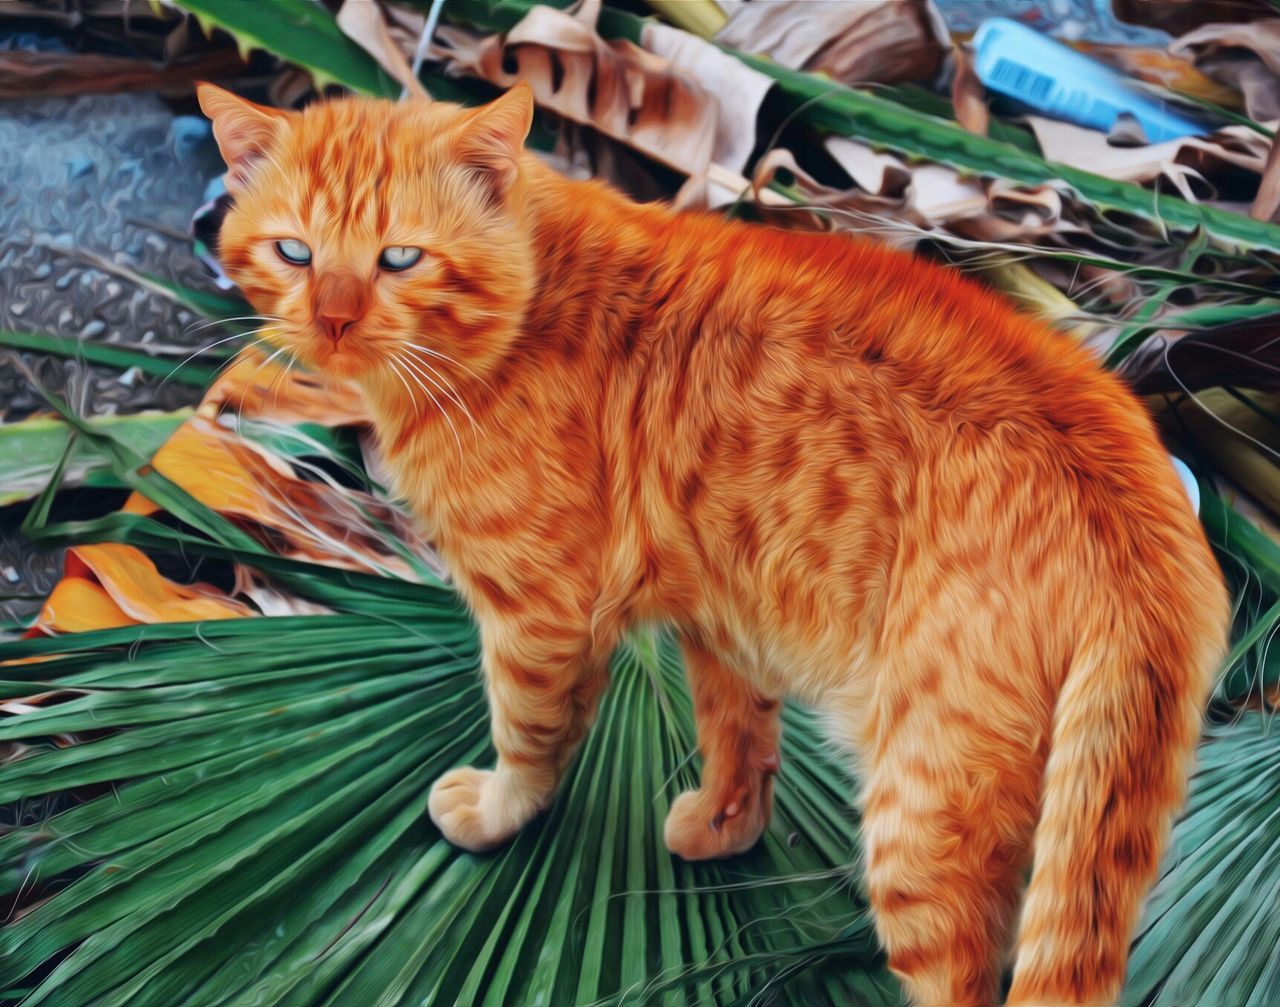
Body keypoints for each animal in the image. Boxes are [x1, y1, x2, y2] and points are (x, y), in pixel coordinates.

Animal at [197, 82, 1228, 1003]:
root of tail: (1145, 518)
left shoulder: (539, 616)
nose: (332, 320)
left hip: (923, 812)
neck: (533, 303)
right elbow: (738, 732)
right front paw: (727, 824)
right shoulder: (734, 607)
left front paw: (495, 813)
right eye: (295, 252)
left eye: (400, 258)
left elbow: (528, 736)